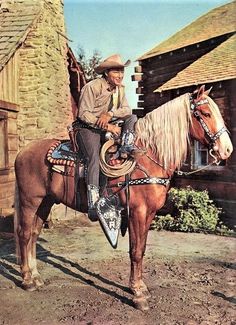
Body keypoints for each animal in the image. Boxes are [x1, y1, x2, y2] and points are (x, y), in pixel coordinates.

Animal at [14, 86, 232, 308]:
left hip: (45, 202)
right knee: (24, 234)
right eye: (205, 113)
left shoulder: (148, 214)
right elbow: (135, 251)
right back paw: (27, 280)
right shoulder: (138, 212)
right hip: (29, 201)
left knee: (34, 234)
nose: (227, 149)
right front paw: (138, 294)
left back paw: (36, 276)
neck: (147, 156)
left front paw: (139, 286)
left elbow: (140, 249)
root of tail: (22, 152)